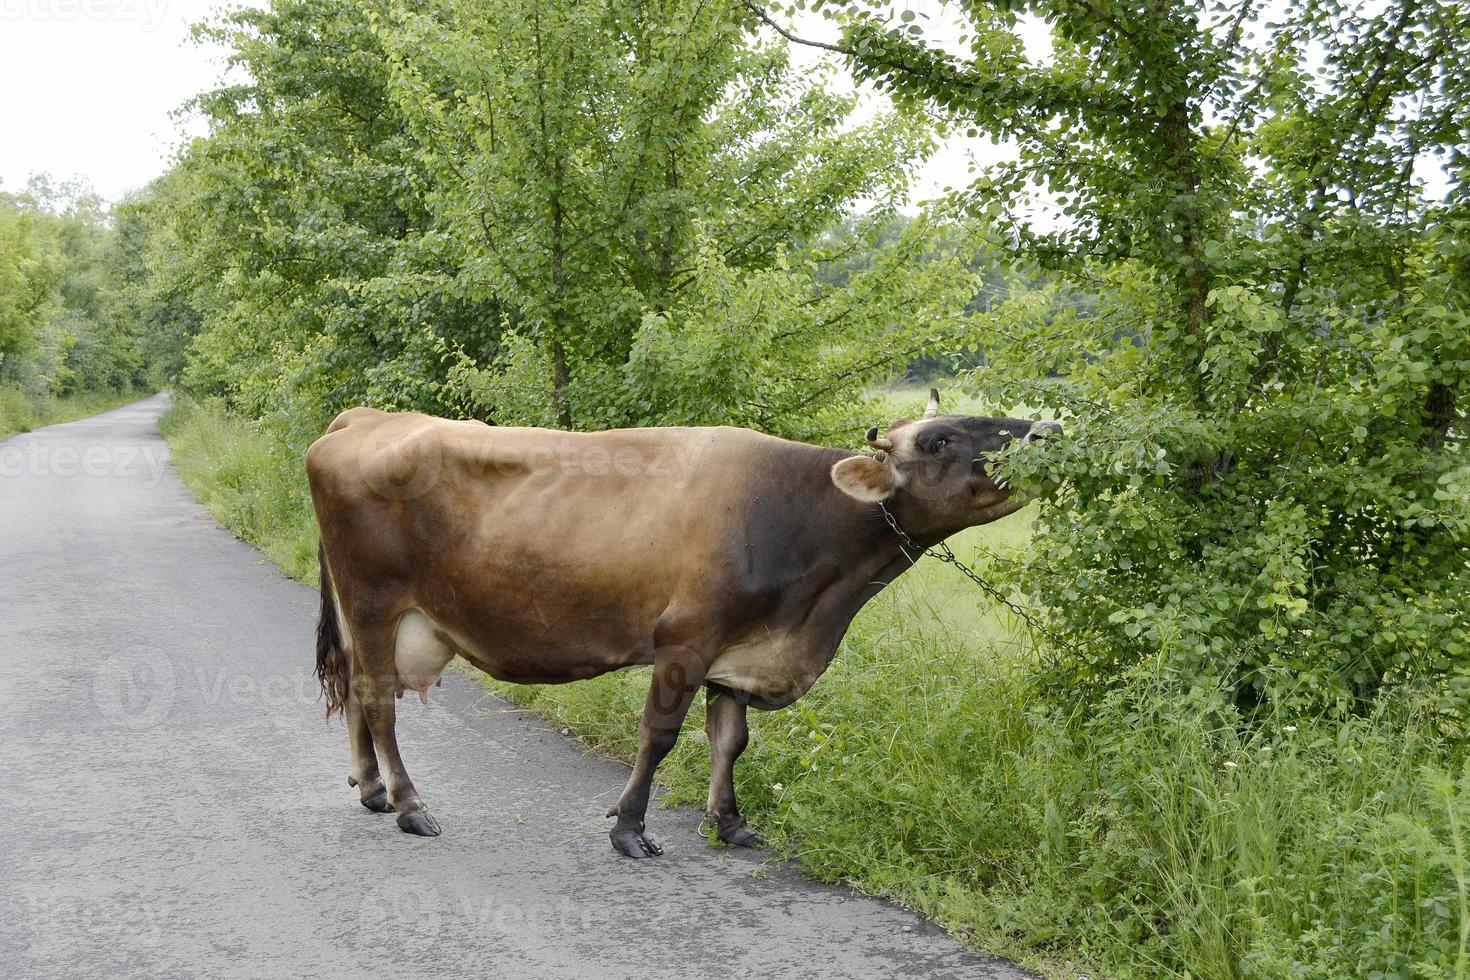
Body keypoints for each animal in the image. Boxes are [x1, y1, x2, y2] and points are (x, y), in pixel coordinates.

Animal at [310, 390, 1064, 858]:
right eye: (940, 438)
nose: (1049, 430)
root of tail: (361, 418)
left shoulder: (743, 650)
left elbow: (731, 740)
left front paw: (730, 824)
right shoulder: (686, 641)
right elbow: (660, 737)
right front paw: (630, 828)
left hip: (363, 613)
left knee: (357, 694)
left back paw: (373, 790)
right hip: (375, 602)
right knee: (377, 701)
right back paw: (410, 804)